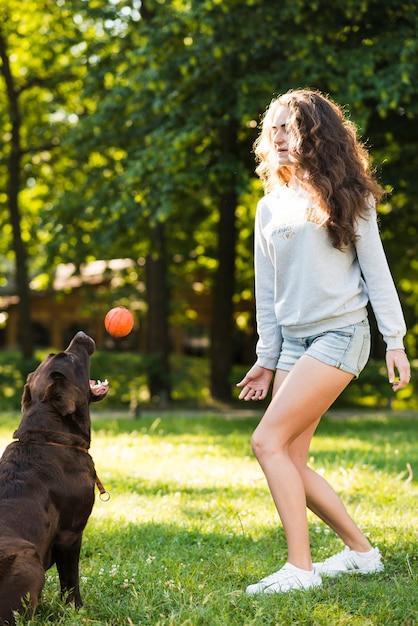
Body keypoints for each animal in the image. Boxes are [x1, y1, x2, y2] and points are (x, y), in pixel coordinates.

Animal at [0, 330, 109, 620]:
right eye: (68, 357)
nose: (81, 333)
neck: (48, 437)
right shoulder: (70, 533)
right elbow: (70, 579)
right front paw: (77, 610)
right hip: (29, 560)